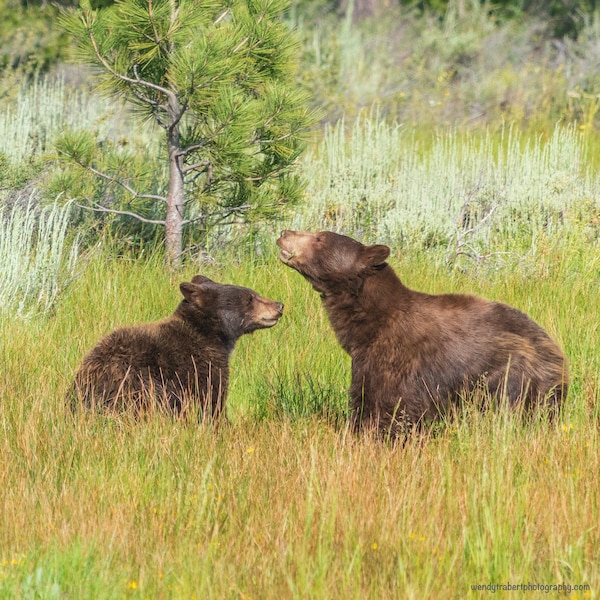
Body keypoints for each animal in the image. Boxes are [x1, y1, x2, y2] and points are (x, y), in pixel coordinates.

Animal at [72, 276, 284, 420]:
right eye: (250, 298)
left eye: (254, 293)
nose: (279, 305)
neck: (212, 336)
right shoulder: (199, 366)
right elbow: (212, 401)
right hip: (135, 384)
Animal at [276, 229, 568, 436]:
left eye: (320, 238)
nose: (284, 233)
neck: (369, 325)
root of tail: (559, 358)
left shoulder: (397, 361)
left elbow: (387, 405)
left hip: (512, 377)